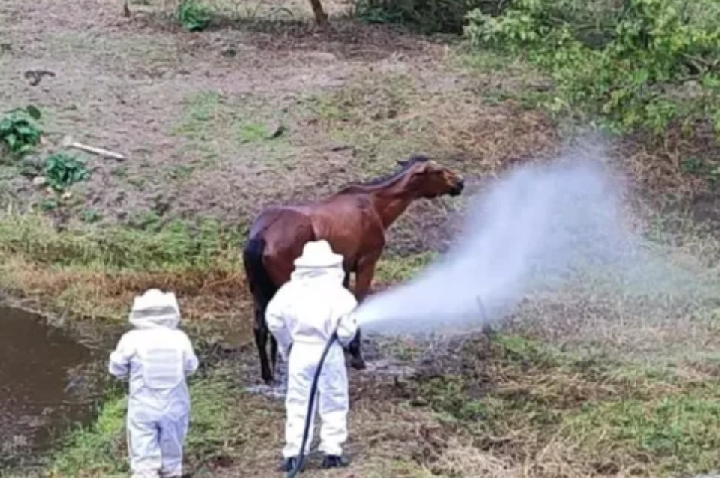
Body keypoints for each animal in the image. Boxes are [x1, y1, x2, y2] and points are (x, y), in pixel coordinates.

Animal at [245, 155, 464, 382]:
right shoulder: (366, 263)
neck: (376, 205)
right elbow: (356, 306)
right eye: (438, 170)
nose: (460, 182)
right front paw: (357, 356)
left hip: (259, 290)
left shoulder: (344, 269)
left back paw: (268, 374)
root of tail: (261, 236)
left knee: (260, 328)